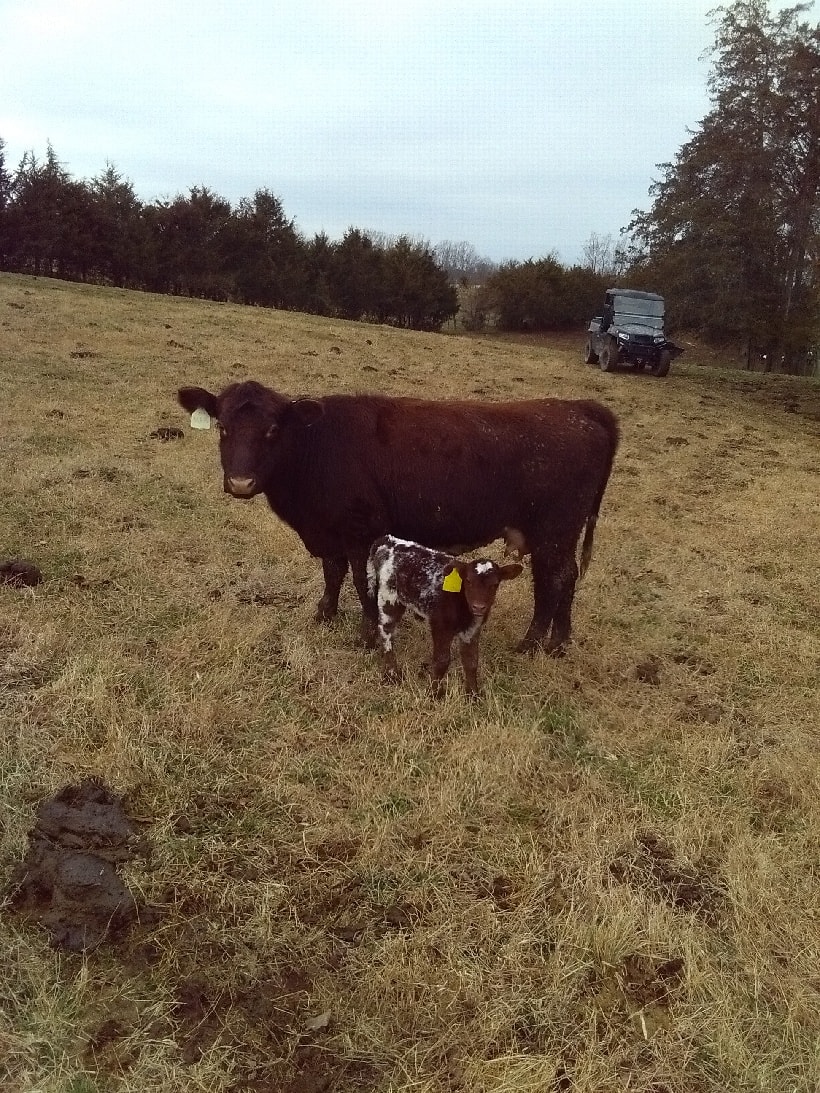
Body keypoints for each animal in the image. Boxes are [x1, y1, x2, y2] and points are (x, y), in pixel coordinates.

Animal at [176, 380, 619, 654]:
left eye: (272, 430)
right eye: (223, 427)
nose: (240, 482)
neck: (318, 446)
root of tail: (578, 408)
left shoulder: (361, 531)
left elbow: (361, 580)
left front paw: (368, 634)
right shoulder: (329, 531)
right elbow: (332, 573)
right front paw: (324, 614)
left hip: (553, 531)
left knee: (555, 579)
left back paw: (532, 643)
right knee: (568, 576)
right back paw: (559, 642)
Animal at [367, 535, 522, 696]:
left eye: (495, 584)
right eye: (468, 581)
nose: (478, 606)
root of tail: (387, 540)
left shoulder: (473, 628)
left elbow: (471, 661)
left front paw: (473, 694)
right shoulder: (440, 624)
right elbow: (442, 660)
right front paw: (433, 692)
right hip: (388, 597)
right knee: (386, 632)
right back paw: (392, 674)